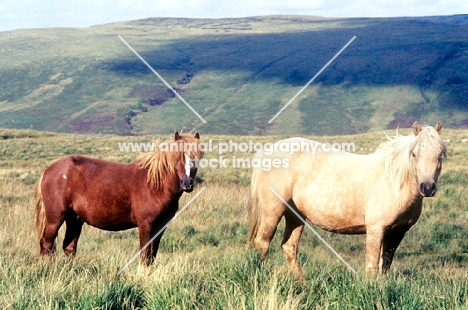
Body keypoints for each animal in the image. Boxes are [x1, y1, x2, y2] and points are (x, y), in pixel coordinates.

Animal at [35, 132, 204, 266]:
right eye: (179, 156)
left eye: (197, 158)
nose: (187, 183)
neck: (155, 184)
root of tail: (48, 170)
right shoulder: (146, 225)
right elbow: (145, 254)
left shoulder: (160, 226)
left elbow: (152, 256)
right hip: (55, 218)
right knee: (47, 244)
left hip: (75, 219)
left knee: (69, 246)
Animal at [249, 121, 446, 278]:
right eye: (414, 154)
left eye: (440, 154)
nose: (427, 187)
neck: (394, 183)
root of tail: (267, 152)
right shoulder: (375, 230)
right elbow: (372, 265)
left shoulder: (398, 232)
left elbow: (385, 265)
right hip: (273, 211)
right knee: (262, 244)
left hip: (295, 215)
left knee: (289, 247)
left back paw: (302, 283)